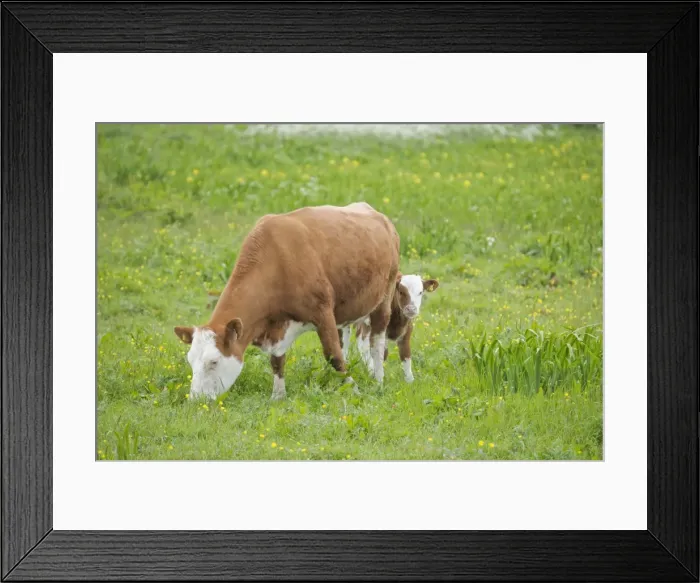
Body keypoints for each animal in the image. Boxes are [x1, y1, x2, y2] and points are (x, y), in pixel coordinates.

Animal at [174, 202, 400, 400]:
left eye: (213, 361)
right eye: (190, 361)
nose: (195, 399)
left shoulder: (322, 312)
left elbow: (333, 355)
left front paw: (354, 390)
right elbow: (277, 360)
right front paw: (278, 395)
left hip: (385, 296)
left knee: (377, 343)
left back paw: (378, 379)